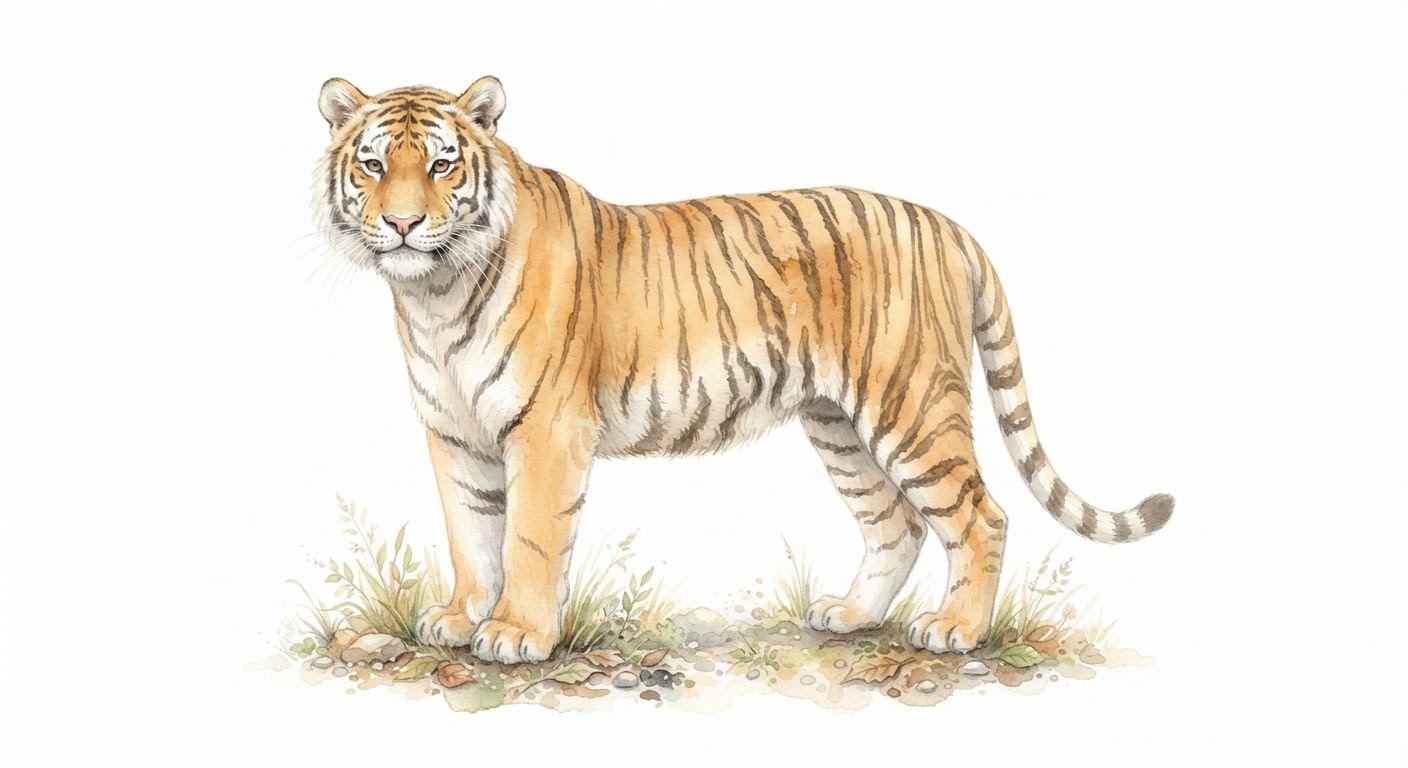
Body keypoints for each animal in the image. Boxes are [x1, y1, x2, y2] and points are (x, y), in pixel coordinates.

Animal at [313, 76, 1173, 665]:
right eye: (373, 165)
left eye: (442, 167)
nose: (401, 223)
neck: (433, 294)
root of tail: (948, 225)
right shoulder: (455, 435)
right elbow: (470, 534)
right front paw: (461, 618)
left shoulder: (547, 430)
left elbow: (527, 537)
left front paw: (517, 634)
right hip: (839, 424)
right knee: (894, 523)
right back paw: (852, 616)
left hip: (913, 406)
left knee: (980, 516)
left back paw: (955, 630)